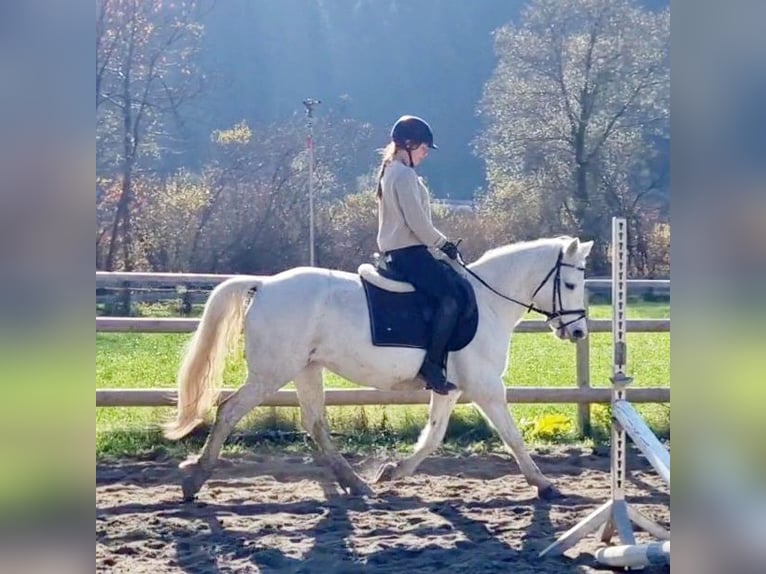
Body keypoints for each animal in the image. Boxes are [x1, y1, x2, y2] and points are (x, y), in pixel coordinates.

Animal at [165, 236, 592, 502]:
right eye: (571, 284)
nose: (578, 331)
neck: (487, 302)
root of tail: (265, 285)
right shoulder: (486, 387)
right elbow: (513, 437)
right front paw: (544, 484)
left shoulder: (450, 388)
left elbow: (433, 437)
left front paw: (392, 472)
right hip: (272, 373)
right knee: (229, 411)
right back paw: (194, 479)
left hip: (305, 369)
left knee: (315, 423)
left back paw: (356, 485)